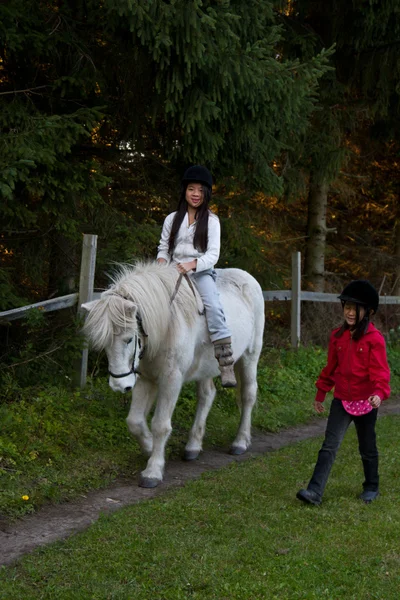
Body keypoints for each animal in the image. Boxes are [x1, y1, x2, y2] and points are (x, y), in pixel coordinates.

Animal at [82, 262, 264, 488]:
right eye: (105, 344)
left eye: (128, 339)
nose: (119, 386)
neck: (166, 324)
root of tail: (248, 278)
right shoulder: (145, 379)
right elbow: (134, 421)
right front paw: (150, 447)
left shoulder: (171, 380)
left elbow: (160, 424)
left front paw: (153, 471)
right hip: (205, 368)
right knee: (207, 396)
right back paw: (193, 446)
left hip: (249, 356)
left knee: (248, 395)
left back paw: (240, 442)